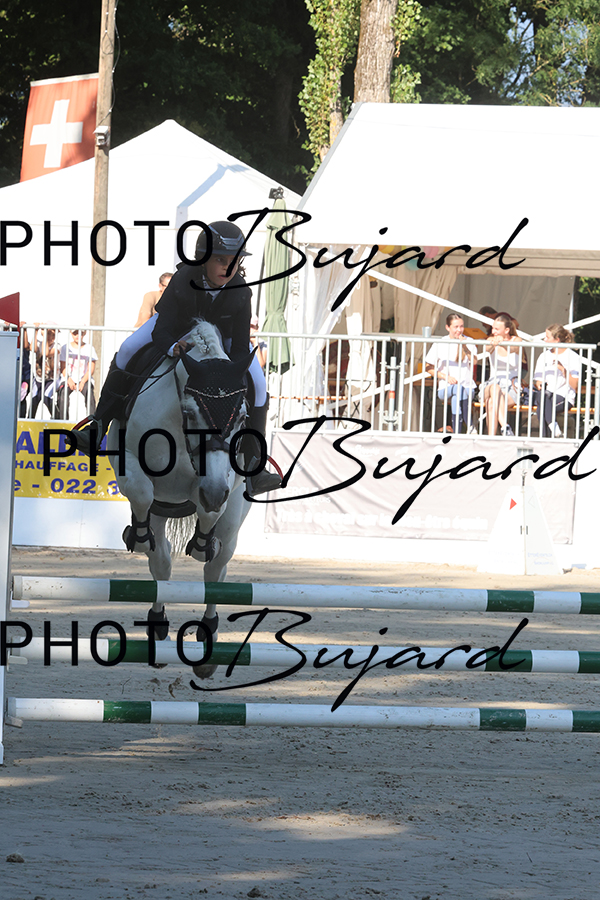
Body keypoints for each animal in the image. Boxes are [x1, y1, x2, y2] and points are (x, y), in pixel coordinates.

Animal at [107, 320, 254, 673]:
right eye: (191, 412)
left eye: (243, 417)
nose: (213, 493)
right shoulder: (126, 459)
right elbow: (142, 492)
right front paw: (138, 537)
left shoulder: (222, 480)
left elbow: (210, 511)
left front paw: (202, 543)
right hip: (163, 514)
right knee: (161, 562)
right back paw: (157, 624)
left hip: (233, 524)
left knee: (216, 569)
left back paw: (208, 637)